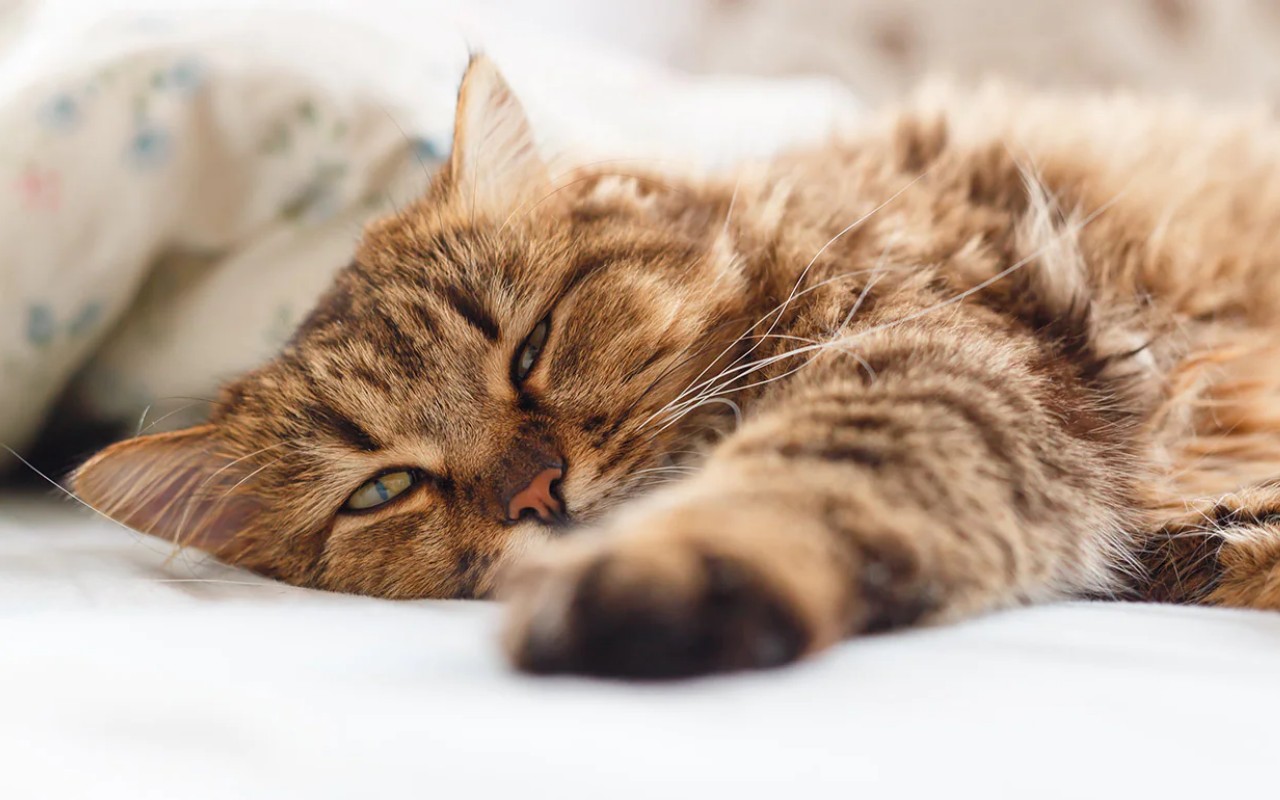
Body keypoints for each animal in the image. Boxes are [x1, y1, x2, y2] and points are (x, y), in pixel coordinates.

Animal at [72, 56, 1280, 675]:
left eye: (531, 347)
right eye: (383, 489)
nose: (535, 491)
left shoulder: (940, 361)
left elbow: (794, 485)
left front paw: (663, 576)